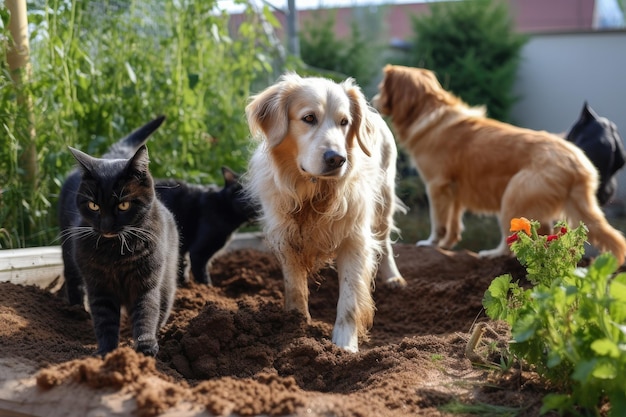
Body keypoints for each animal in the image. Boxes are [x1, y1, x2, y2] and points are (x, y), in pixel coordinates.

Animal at [57, 115, 178, 356]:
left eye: (123, 205)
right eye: (94, 205)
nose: (106, 226)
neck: (116, 252)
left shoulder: (146, 283)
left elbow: (146, 313)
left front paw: (145, 348)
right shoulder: (99, 287)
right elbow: (105, 321)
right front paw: (106, 353)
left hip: (168, 280)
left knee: (163, 306)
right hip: (69, 253)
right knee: (73, 281)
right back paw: (76, 312)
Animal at [244, 72, 404, 352]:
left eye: (345, 122)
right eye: (309, 118)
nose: (337, 159)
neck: (313, 192)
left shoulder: (355, 237)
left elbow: (349, 299)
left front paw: (344, 346)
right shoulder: (285, 235)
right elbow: (295, 287)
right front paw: (296, 327)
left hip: (384, 199)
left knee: (385, 242)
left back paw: (393, 278)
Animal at [370, 63, 624, 262]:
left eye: (381, 88)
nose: (372, 100)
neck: (427, 111)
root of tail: (575, 160)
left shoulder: (436, 185)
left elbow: (438, 221)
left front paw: (432, 243)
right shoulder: (455, 189)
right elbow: (454, 223)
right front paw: (447, 245)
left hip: (512, 197)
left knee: (515, 242)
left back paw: (493, 254)